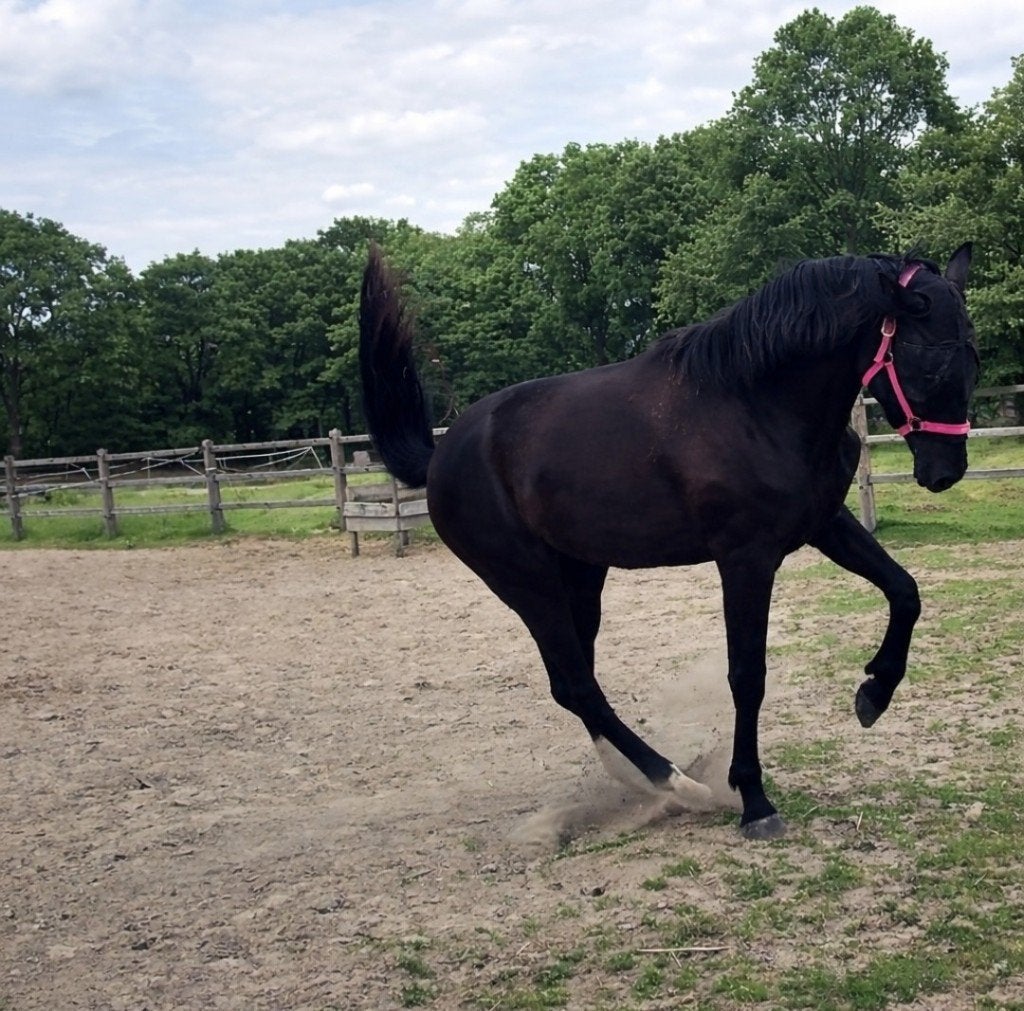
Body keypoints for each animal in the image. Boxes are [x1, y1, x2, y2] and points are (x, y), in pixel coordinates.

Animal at [358, 243, 977, 839]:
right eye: (929, 363)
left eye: (971, 360)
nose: (945, 472)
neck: (755, 403)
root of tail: (442, 454)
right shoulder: (745, 559)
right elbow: (747, 674)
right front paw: (754, 801)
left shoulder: (826, 524)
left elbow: (905, 591)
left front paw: (874, 692)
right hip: (527, 583)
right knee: (577, 684)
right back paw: (677, 784)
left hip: (581, 576)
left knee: (575, 682)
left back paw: (645, 784)